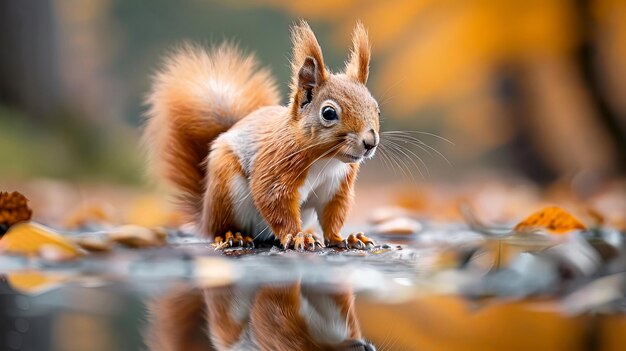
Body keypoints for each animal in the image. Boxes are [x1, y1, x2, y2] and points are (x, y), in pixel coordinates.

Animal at [144, 21, 378, 250]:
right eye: (328, 113)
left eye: (376, 108)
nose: (370, 142)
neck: (326, 160)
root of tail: (204, 215)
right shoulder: (275, 167)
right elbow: (274, 201)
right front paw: (297, 237)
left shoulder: (337, 187)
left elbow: (333, 215)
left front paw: (344, 238)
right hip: (225, 188)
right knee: (221, 227)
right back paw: (233, 235)